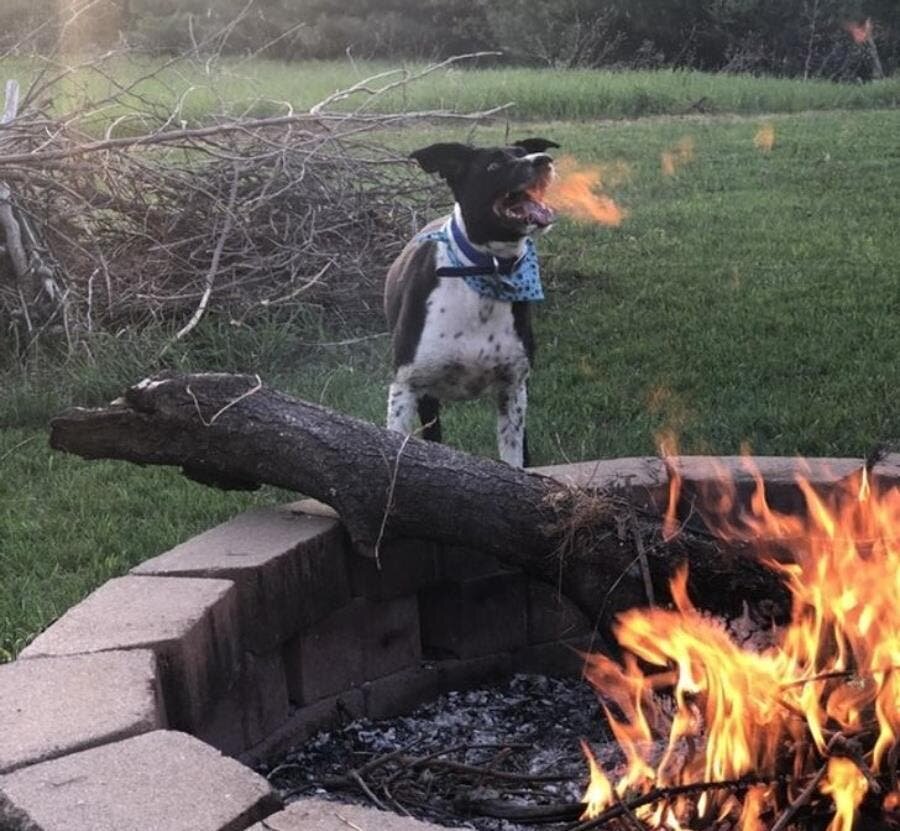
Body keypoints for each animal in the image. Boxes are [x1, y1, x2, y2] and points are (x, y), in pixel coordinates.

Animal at [384, 136, 560, 468]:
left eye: (524, 152)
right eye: (494, 164)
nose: (543, 160)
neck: (485, 269)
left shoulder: (512, 388)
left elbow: (514, 457)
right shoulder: (406, 386)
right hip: (426, 396)